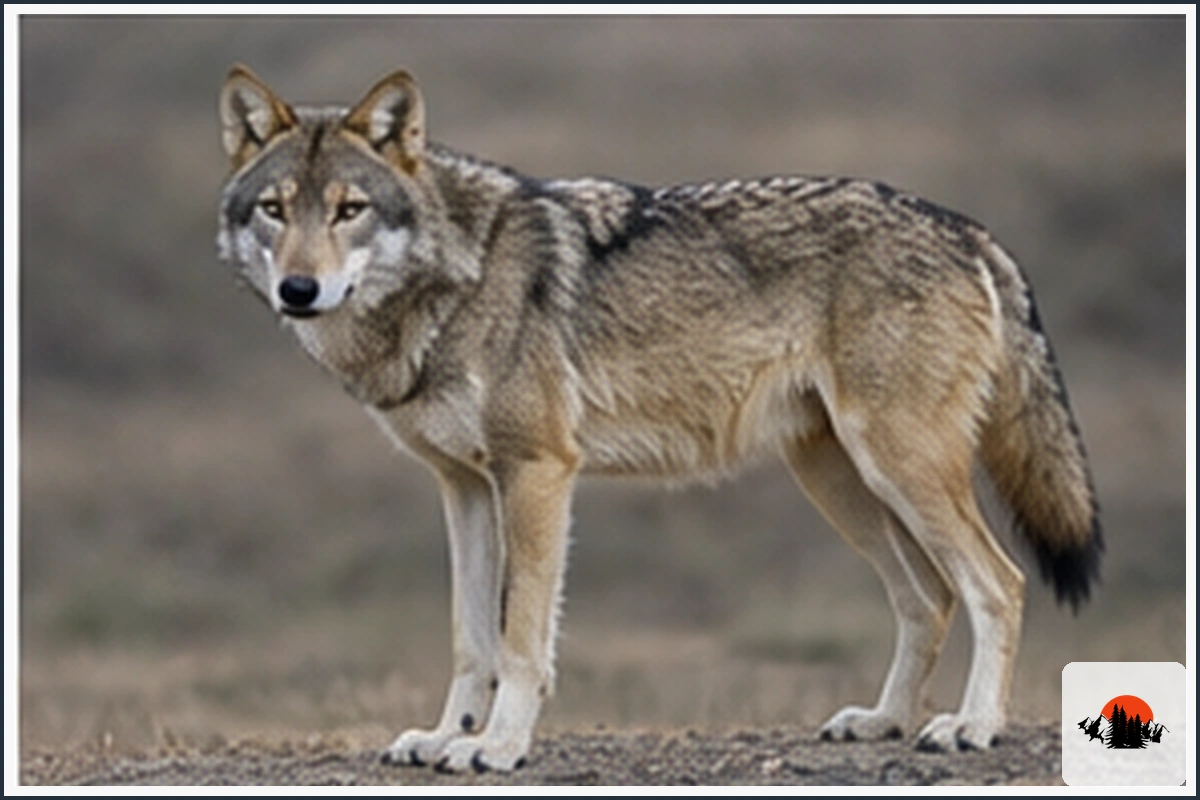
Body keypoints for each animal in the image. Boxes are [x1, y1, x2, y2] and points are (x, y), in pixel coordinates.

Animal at [216, 65, 1102, 772]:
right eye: (274, 210)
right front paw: (445, 736)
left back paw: (971, 726)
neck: (452, 283)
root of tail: (966, 227)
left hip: (897, 467)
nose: (299, 290)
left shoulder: (537, 471)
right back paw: (884, 721)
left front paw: (496, 746)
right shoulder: (463, 487)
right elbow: (471, 638)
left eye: (349, 209)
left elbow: (521, 638)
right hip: (839, 480)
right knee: (929, 598)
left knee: (999, 583)